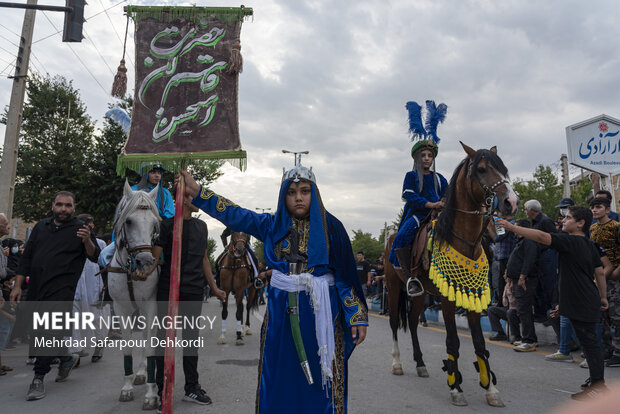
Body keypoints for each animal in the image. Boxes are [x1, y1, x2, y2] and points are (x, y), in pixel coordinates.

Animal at [388, 143, 520, 408]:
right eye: (481, 169)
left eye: (504, 168)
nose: (511, 202)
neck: (465, 240)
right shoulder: (448, 297)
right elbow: (453, 342)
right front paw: (456, 387)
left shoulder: (472, 295)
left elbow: (479, 343)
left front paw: (490, 389)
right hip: (393, 285)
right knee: (396, 322)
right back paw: (397, 363)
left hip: (420, 294)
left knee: (413, 322)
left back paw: (420, 364)